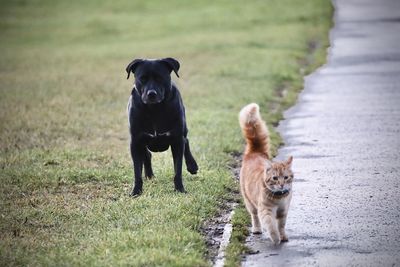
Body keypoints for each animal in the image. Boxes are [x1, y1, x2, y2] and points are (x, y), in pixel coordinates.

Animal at [126, 57, 198, 198]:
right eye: (142, 78)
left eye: (160, 78)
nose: (151, 94)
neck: (154, 109)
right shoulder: (136, 141)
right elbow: (137, 171)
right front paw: (136, 191)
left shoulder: (176, 140)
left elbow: (178, 169)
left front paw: (180, 189)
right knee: (147, 154)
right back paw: (149, 175)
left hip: (183, 128)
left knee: (186, 140)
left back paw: (192, 165)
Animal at [239, 103, 292, 246]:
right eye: (275, 178)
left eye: (286, 178)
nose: (281, 185)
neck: (279, 197)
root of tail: (255, 152)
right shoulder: (265, 211)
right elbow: (271, 225)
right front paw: (275, 238)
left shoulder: (283, 212)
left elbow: (281, 226)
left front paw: (283, 236)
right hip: (250, 202)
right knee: (254, 216)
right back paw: (257, 229)